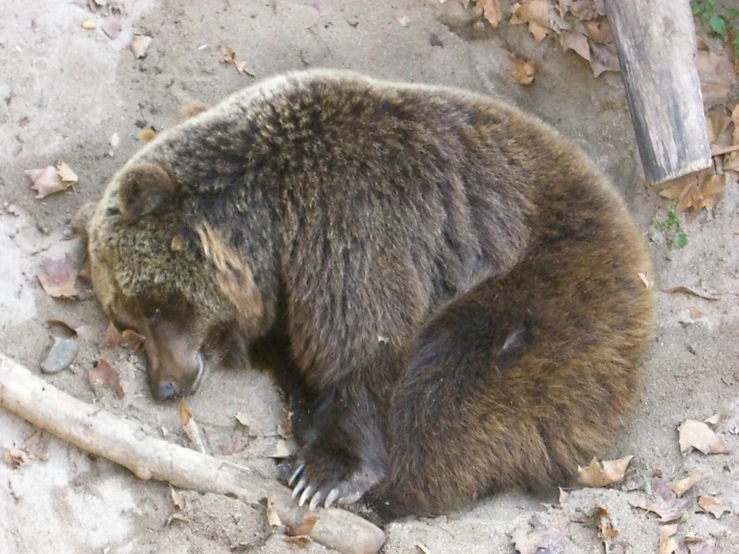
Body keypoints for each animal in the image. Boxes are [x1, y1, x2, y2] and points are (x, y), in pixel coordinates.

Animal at [73, 68, 652, 516]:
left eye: (155, 307)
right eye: (129, 321)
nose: (166, 385)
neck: (273, 219)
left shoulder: (354, 220)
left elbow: (365, 345)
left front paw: (327, 473)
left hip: (556, 289)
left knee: (453, 381)